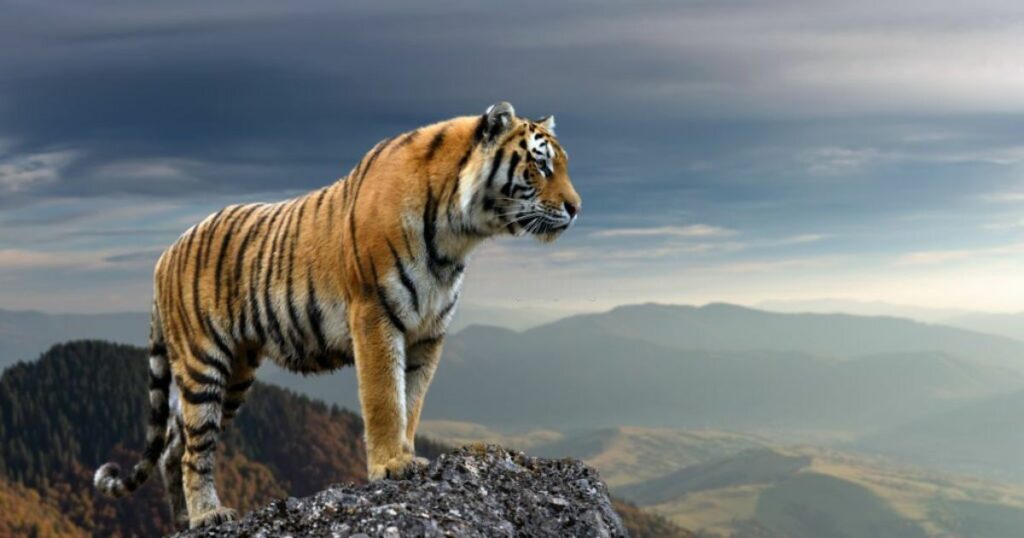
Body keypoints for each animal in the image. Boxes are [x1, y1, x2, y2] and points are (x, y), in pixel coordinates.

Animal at [93, 102, 581, 529]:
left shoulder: (428, 333)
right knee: (195, 450)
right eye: (540, 166)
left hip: (235, 375)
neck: (457, 236)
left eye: (564, 166)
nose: (576, 208)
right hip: (203, 363)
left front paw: (406, 454)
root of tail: (163, 256)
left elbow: (412, 401)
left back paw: (184, 522)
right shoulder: (375, 315)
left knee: (174, 448)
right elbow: (385, 398)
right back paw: (208, 515)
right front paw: (391, 465)